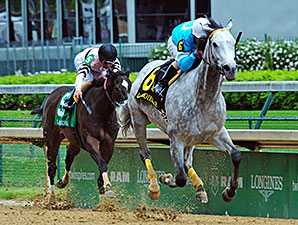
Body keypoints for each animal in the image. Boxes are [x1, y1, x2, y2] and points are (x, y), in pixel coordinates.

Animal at [32, 70, 131, 200]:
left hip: (74, 141)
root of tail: (51, 95)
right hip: (52, 138)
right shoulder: (90, 140)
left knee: (68, 159)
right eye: (117, 88)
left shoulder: (109, 144)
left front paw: (104, 196)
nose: (128, 106)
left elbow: (101, 168)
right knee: (52, 167)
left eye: (130, 85)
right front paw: (109, 186)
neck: (100, 111)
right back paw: (51, 198)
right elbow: (102, 163)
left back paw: (62, 182)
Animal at [118, 18, 242, 202]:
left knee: (187, 162)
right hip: (138, 120)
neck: (204, 98)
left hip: (192, 138)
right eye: (214, 44)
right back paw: (154, 187)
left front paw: (229, 192)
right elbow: (180, 178)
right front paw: (165, 178)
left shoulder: (216, 133)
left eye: (233, 43)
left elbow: (236, 155)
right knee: (145, 154)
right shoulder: (176, 138)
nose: (230, 68)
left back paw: (200, 189)